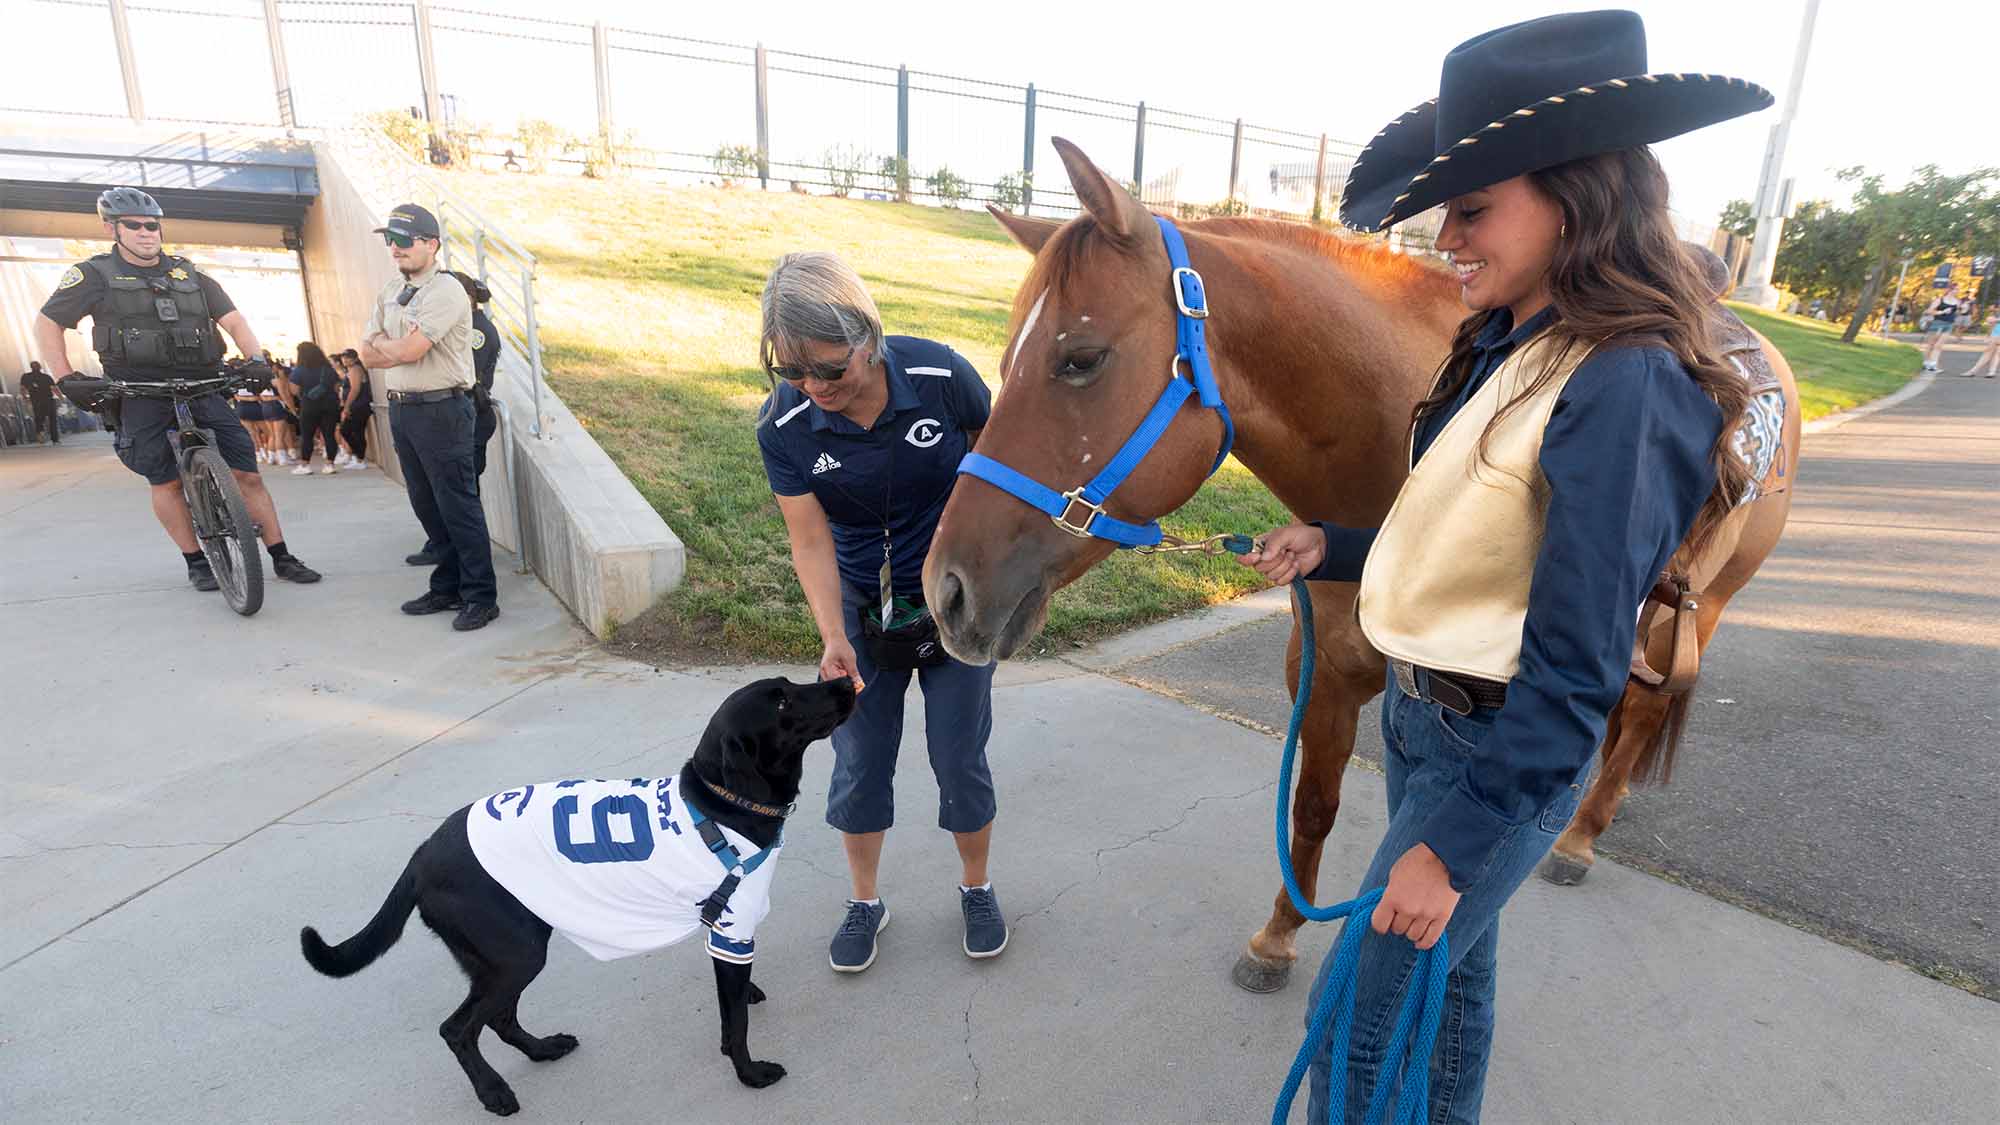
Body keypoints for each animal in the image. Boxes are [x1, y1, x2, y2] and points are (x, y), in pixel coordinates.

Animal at [300, 672, 856, 1112]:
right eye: (781, 703)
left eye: (790, 685)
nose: (845, 682)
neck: (723, 802)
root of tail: (420, 856)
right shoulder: (732, 923)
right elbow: (734, 1023)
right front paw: (748, 1072)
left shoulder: (726, 932)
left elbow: (735, 993)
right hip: (515, 955)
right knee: (458, 1029)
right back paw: (493, 1092)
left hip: (506, 956)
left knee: (499, 1018)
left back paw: (542, 1050)